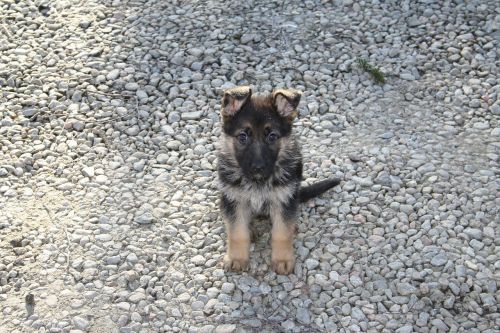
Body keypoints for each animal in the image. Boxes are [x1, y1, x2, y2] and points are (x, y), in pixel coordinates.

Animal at [217, 87, 338, 274]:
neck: (258, 182)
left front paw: (282, 259)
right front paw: (237, 258)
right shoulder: (233, 200)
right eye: (243, 136)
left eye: (272, 136)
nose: (258, 168)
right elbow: (237, 232)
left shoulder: (283, 199)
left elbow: (281, 233)